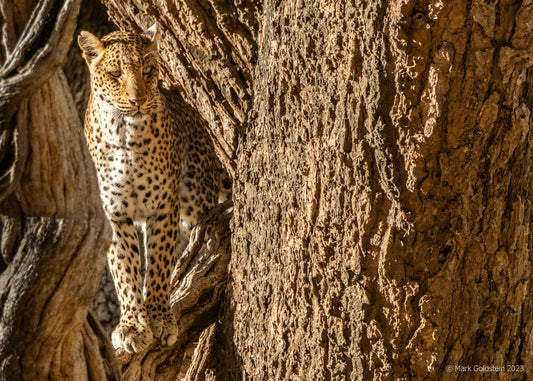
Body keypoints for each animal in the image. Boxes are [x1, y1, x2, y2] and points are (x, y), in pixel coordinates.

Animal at [77, 24, 231, 354]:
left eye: (147, 70)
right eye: (115, 74)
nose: (138, 100)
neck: (126, 133)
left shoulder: (162, 207)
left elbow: (159, 262)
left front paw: (159, 316)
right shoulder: (114, 212)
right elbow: (124, 270)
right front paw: (133, 324)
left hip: (195, 201)